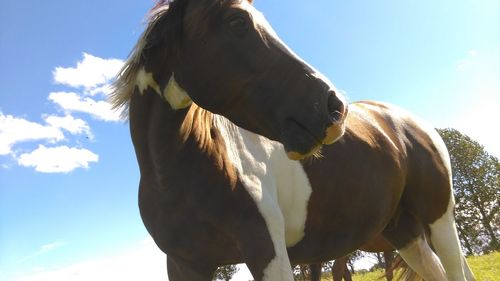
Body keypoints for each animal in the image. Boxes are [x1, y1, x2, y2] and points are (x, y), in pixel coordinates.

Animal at [111, 0, 474, 280]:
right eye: (237, 21)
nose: (334, 107)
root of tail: (412, 123)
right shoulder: (185, 265)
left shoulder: (266, 251)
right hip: (404, 233)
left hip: (439, 221)